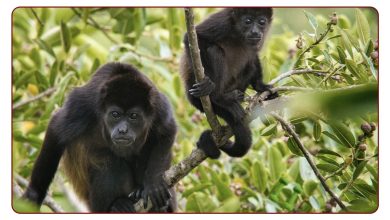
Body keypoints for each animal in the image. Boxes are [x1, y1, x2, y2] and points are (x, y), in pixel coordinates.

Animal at [22, 62, 177, 213]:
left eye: (133, 116)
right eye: (115, 114)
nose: (122, 130)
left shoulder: (159, 105)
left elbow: (168, 130)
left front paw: (154, 182)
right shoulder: (82, 105)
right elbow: (56, 128)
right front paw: (33, 195)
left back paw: (150, 198)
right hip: (94, 204)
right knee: (110, 163)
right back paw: (117, 205)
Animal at [181, 6, 278, 158]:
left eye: (262, 22)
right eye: (248, 21)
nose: (255, 31)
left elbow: (254, 55)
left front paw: (261, 87)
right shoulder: (223, 21)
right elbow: (195, 37)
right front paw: (208, 84)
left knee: (250, 61)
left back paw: (236, 96)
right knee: (215, 51)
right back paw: (220, 98)